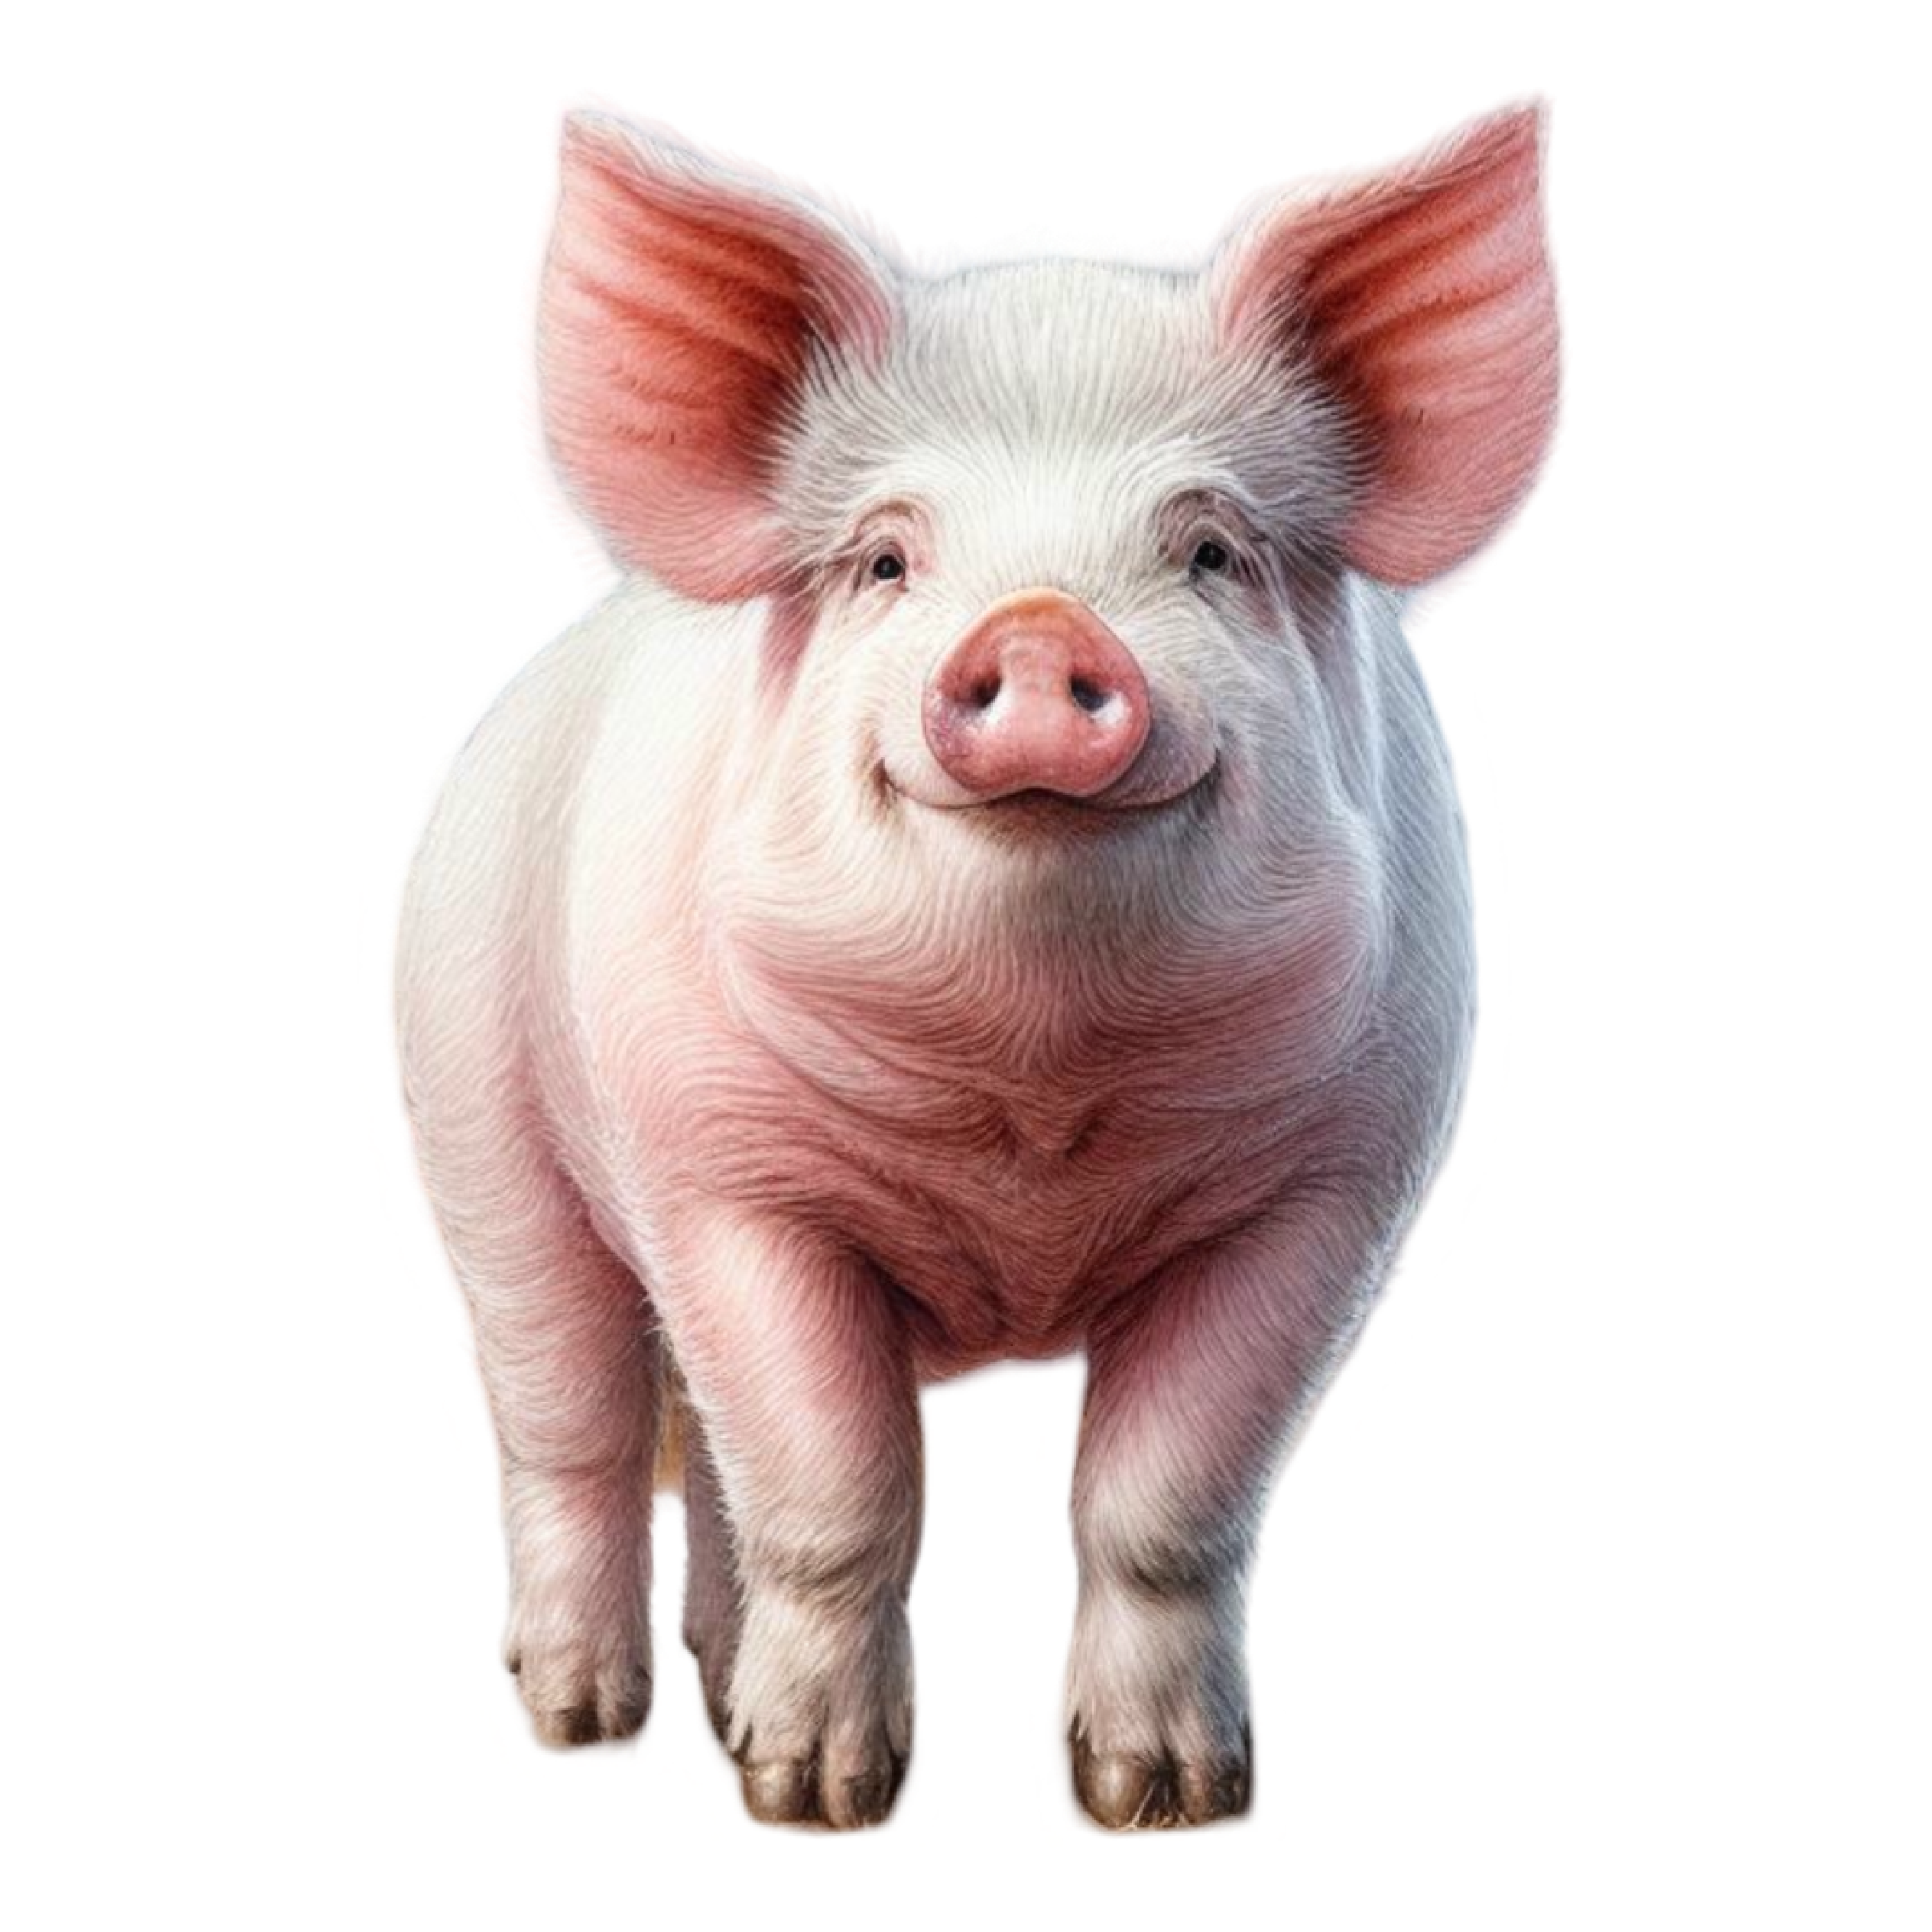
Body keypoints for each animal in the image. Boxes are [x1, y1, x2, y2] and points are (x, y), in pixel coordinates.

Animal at [386, 87, 1566, 1840]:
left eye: (1211, 551)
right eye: (887, 560)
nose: (1037, 630)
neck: (1033, 1121)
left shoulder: (1340, 1184)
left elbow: (1167, 1498)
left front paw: (1165, 1805)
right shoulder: (717, 1177)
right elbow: (837, 1486)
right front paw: (819, 1810)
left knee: (709, 1465)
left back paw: (716, 1713)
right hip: (473, 1116)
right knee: (569, 1428)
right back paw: (584, 1727)